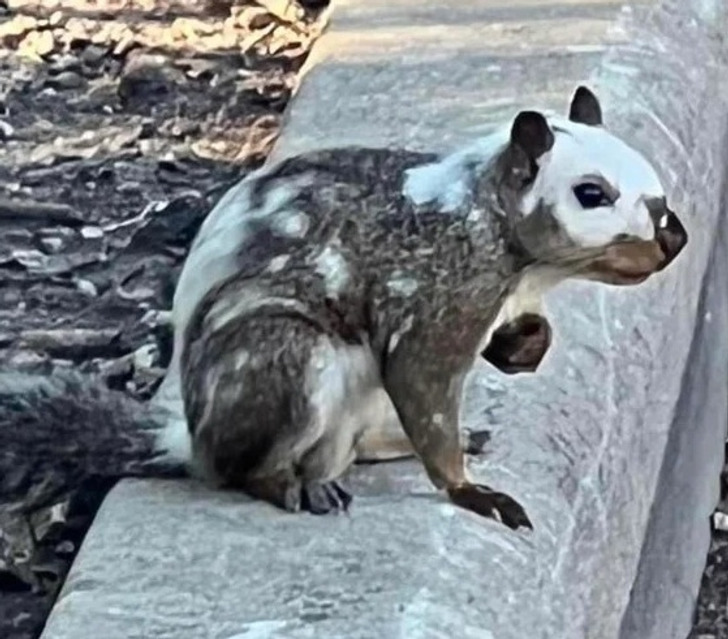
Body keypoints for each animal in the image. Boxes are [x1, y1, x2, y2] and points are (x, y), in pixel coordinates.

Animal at [0, 85, 684, 544]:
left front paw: (527, 344)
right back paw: (287, 484)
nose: (673, 238)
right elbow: (425, 393)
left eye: (654, 181)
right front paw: (467, 490)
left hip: (351, 406)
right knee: (243, 468)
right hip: (289, 357)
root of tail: (190, 438)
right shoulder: (431, 300)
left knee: (358, 444)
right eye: (591, 194)